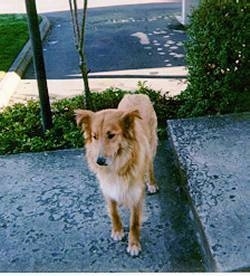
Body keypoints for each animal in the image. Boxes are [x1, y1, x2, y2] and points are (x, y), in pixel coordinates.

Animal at [75, 94, 158, 256]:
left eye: (111, 135)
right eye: (94, 136)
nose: (99, 161)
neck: (118, 164)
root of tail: (136, 93)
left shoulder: (136, 194)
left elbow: (134, 222)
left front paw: (134, 244)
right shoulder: (107, 187)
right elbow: (113, 211)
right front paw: (118, 230)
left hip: (151, 146)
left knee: (150, 166)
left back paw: (152, 183)